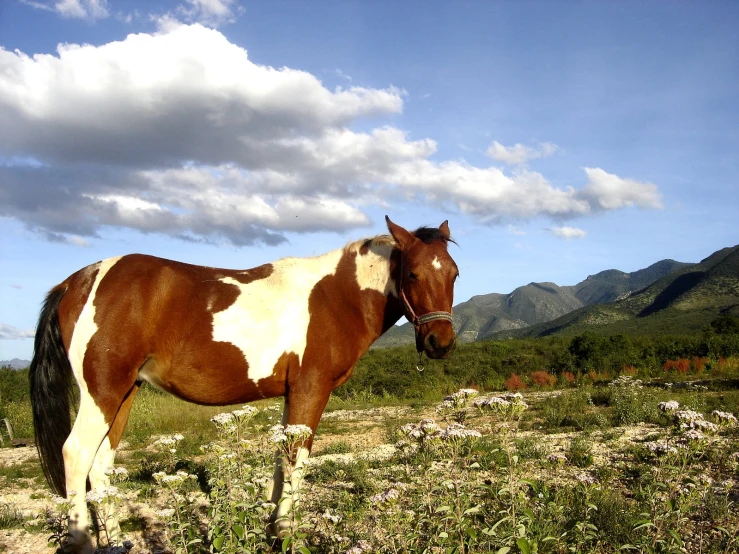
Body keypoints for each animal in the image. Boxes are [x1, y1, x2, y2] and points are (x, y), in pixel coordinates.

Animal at [31, 215, 460, 548]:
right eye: (413, 273)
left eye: (454, 273)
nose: (440, 342)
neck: (335, 299)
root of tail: (77, 281)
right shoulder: (311, 390)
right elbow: (296, 461)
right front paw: (287, 534)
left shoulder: (292, 394)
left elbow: (281, 459)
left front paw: (273, 529)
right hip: (102, 392)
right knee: (76, 454)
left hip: (123, 393)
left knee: (101, 464)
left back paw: (117, 540)